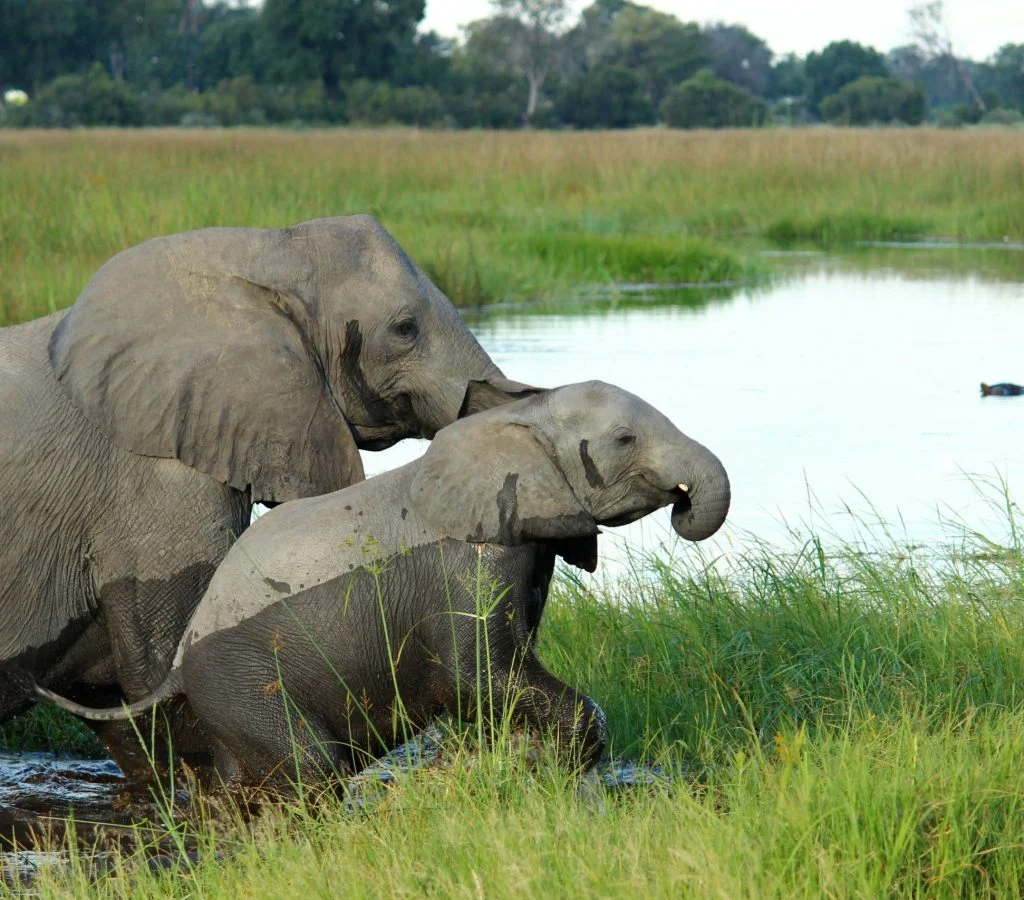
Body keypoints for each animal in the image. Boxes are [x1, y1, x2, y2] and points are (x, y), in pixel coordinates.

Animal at [26, 381, 731, 791]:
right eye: (625, 438)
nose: (683, 505)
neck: (517, 422)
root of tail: (179, 661)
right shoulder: (467, 563)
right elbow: (478, 675)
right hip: (240, 681)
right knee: (313, 769)